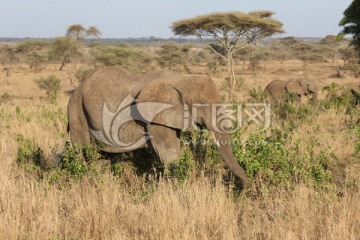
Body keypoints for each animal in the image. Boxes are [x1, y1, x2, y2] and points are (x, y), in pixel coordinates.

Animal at [67, 66, 248, 187]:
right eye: (202, 104)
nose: (247, 186)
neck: (183, 79)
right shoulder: (154, 117)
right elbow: (169, 153)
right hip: (77, 111)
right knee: (81, 152)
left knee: (105, 157)